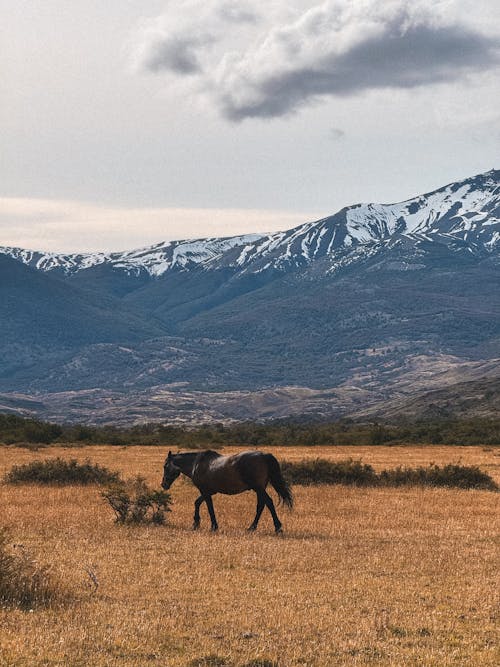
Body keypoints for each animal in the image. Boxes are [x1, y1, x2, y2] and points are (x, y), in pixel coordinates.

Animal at [160, 452, 292, 536]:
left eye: (165, 466)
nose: (163, 484)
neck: (196, 464)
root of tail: (264, 456)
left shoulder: (205, 491)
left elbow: (209, 508)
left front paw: (213, 526)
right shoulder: (209, 491)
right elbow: (197, 502)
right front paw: (196, 523)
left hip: (258, 488)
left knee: (268, 503)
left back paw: (277, 527)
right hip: (259, 489)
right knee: (261, 505)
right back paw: (252, 527)